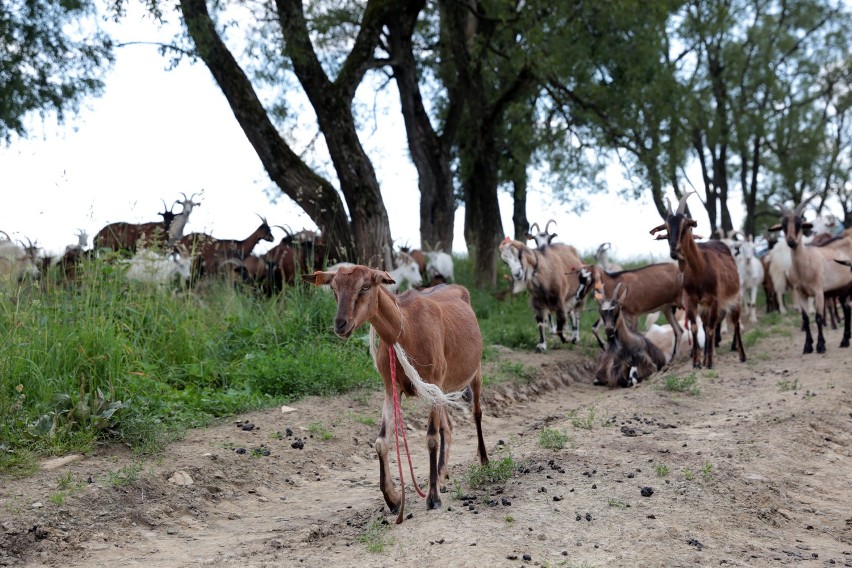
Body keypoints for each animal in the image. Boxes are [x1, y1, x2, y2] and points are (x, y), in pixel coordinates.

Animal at [302, 266, 490, 524]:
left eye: (365, 286)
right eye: (333, 288)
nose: (341, 324)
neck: (406, 328)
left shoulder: (434, 380)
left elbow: (431, 437)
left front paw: (433, 498)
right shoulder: (391, 387)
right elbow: (381, 441)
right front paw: (393, 499)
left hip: (475, 371)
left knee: (477, 413)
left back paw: (483, 461)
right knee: (448, 426)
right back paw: (442, 474)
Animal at [648, 191, 744, 368]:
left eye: (686, 225)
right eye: (666, 228)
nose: (674, 251)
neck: (700, 270)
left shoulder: (714, 299)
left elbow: (711, 328)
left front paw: (710, 362)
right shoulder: (692, 301)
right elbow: (695, 328)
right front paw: (697, 362)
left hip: (734, 297)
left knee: (734, 322)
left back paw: (741, 354)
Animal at [764, 197, 852, 352]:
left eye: (800, 224)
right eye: (783, 226)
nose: (791, 241)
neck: (805, 263)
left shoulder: (819, 291)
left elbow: (818, 317)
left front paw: (821, 345)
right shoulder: (801, 293)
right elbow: (805, 318)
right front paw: (807, 346)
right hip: (843, 289)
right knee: (847, 310)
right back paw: (845, 341)